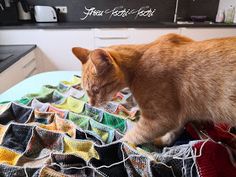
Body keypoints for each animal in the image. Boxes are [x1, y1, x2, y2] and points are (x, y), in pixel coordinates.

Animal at [71, 34, 236, 146]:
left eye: (96, 90)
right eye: (86, 91)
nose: (91, 104)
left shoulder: (161, 119)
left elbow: (132, 136)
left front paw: (118, 143)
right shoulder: (181, 114)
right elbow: (175, 131)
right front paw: (165, 141)